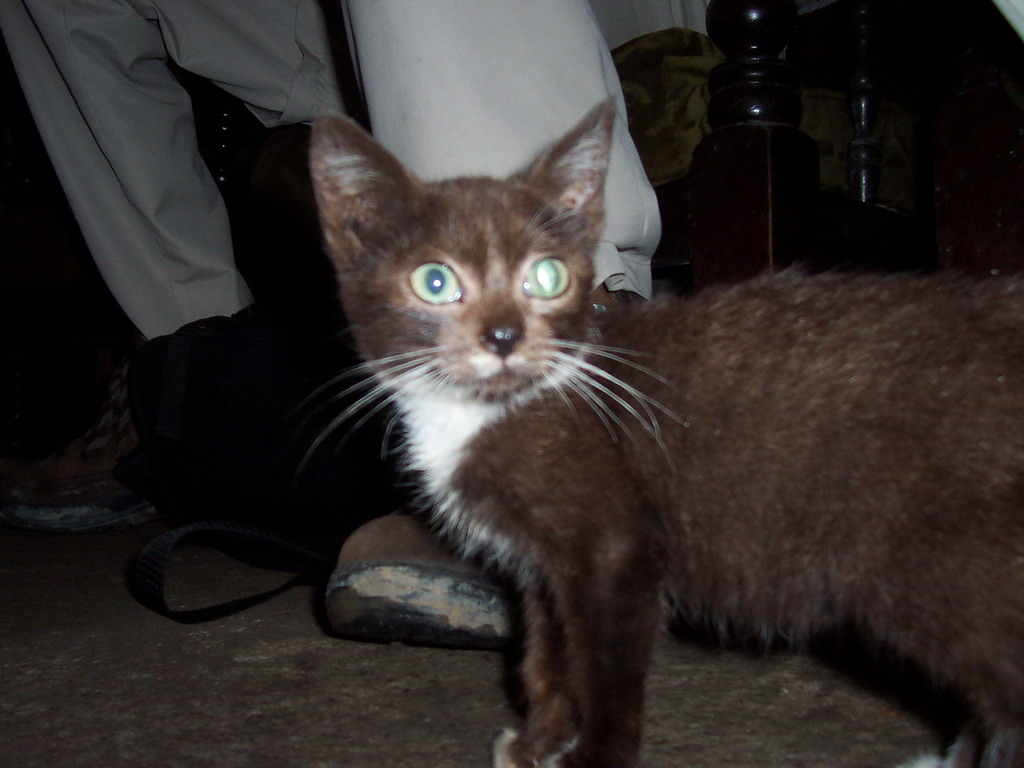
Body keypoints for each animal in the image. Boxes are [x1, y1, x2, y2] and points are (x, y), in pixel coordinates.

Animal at [307, 103, 1024, 768]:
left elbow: (604, 671)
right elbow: (546, 653)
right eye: (434, 282)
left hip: (943, 564)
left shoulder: (613, 546)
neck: (491, 408)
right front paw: (539, 741)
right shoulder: (542, 564)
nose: (504, 336)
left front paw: (592, 758)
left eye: (547, 277)